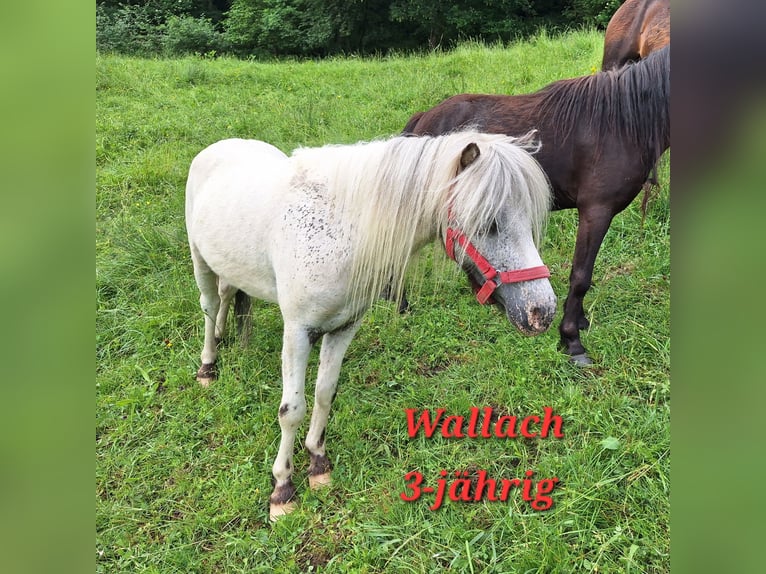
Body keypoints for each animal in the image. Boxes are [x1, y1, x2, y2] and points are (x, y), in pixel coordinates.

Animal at [185, 131, 557, 520]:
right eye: (488, 223)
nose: (541, 311)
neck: (341, 232)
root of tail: (221, 146)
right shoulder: (298, 332)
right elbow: (292, 410)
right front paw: (282, 490)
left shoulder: (343, 328)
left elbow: (324, 393)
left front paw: (318, 463)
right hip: (200, 261)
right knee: (210, 305)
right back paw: (208, 365)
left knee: (227, 293)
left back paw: (223, 336)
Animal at [402, 45, 670, 365]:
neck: (621, 124)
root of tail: (423, 118)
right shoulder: (596, 211)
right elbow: (581, 275)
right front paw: (571, 341)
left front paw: (579, 322)